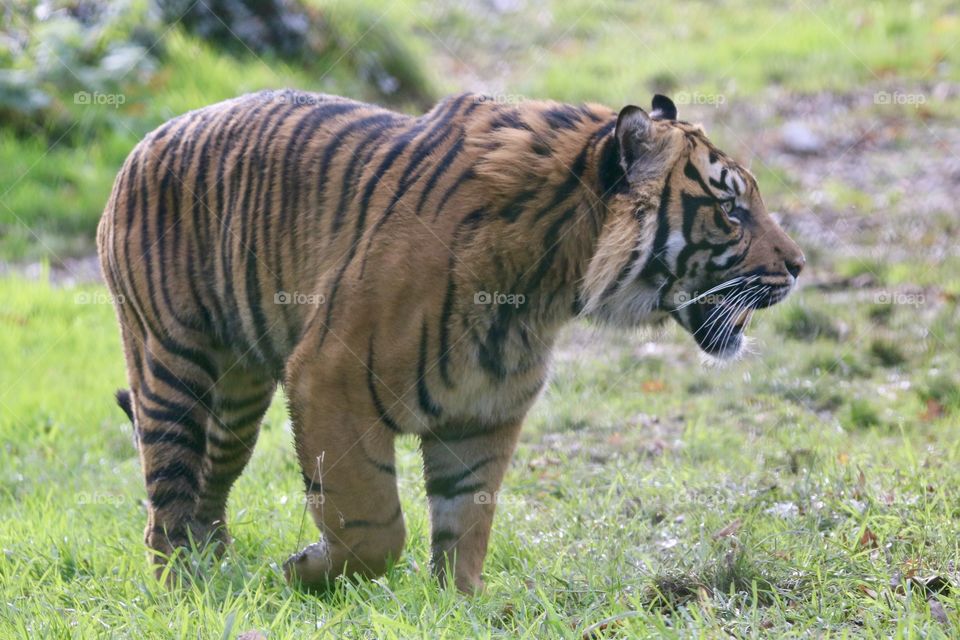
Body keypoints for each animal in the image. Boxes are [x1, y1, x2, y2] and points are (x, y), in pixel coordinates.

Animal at [97, 89, 803, 593]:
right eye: (731, 210)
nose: (799, 265)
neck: (549, 285)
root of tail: (142, 144)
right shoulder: (329, 377)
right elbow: (372, 523)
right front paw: (309, 570)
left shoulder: (484, 410)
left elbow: (467, 521)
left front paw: (458, 605)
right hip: (172, 366)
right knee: (165, 501)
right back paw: (187, 590)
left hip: (239, 395)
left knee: (209, 485)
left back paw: (216, 570)